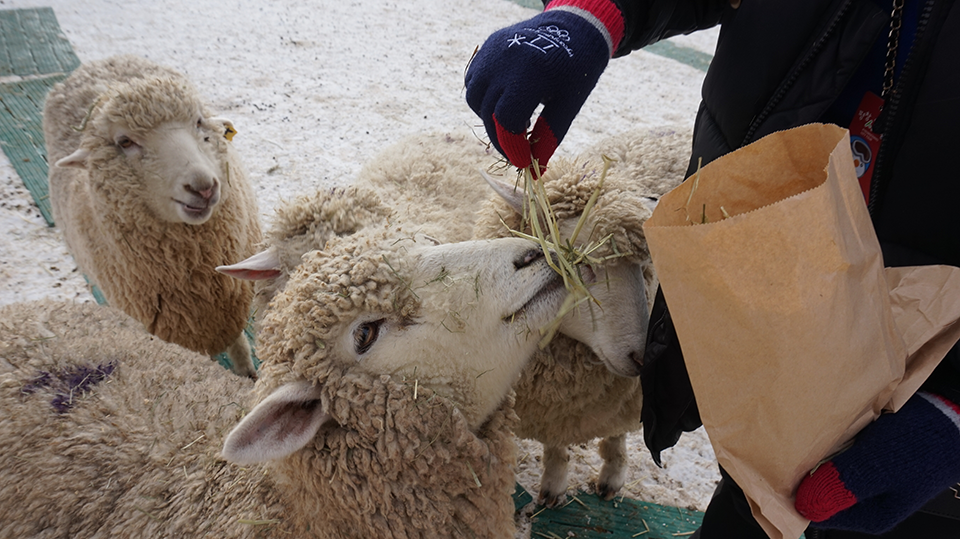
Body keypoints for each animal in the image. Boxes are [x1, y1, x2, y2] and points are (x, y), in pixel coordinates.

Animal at [43, 52, 260, 378]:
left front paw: (248, 372)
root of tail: (101, 63)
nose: (203, 187)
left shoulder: (231, 303)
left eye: (198, 122)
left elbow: (239, 346)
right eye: (124, 142)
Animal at [476, 125, 692, 506]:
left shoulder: (629, 397)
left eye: (644, 266)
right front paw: (554, 484)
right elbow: (555, 443)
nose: (642, 358)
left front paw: (613, 475)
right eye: (575, 261)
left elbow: (617, 435)